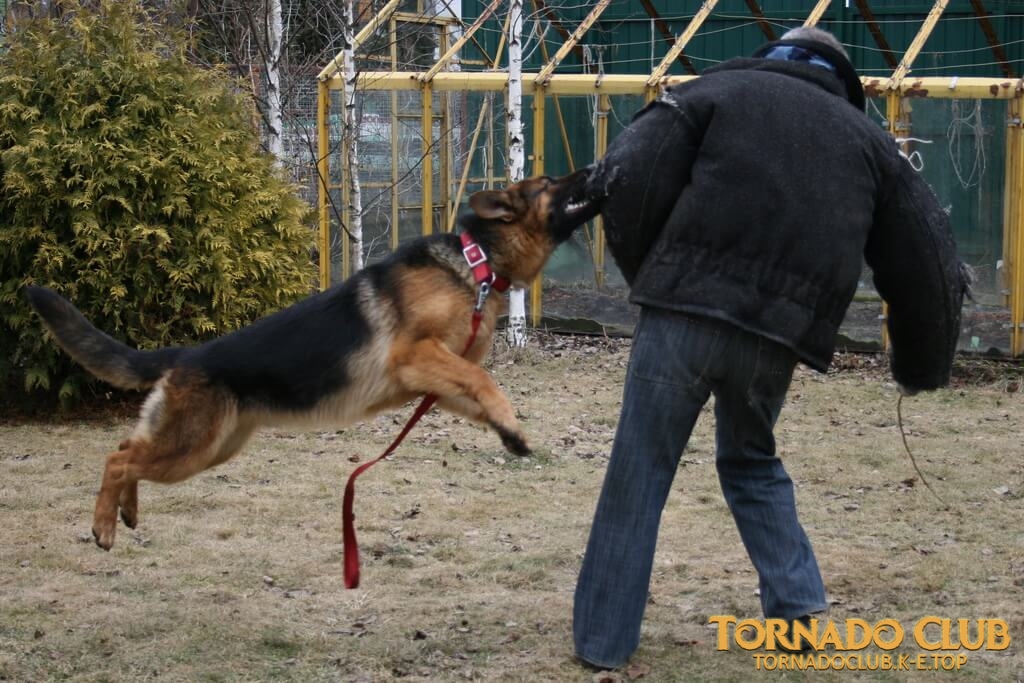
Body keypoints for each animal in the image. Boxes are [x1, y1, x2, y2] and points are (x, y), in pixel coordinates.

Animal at [24, 167, 598, 552]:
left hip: (208, 449)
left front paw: (509, 433)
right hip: (194, 448)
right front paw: (511, 424)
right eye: (551, 181)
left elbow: (479, 391)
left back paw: (126, 512)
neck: (476, 262)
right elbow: (483, 379)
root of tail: (187, 353)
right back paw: (103, 526)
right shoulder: (415, 355)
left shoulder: (433, 381)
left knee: (127, 447)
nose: (594, 169)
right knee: (117, 458)